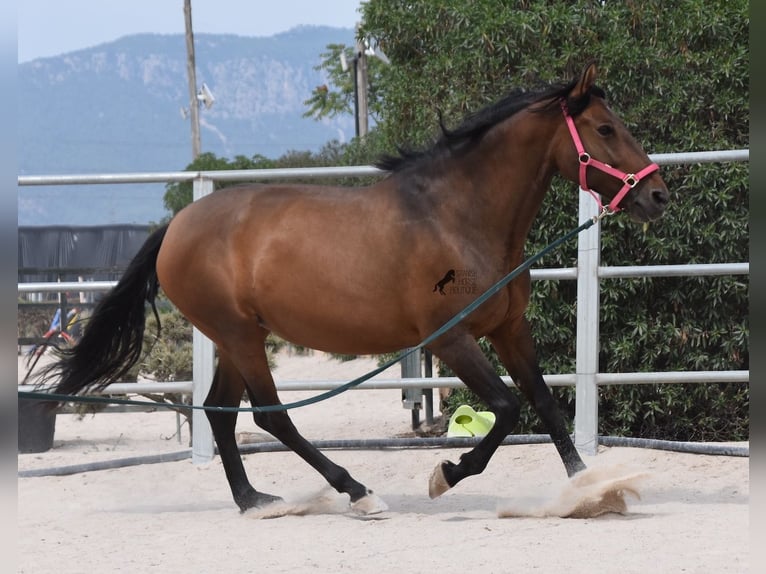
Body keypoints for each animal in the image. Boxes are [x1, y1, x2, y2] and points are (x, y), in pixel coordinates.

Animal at [39, 64, 668, 516]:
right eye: (606, 129)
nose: (658, 195)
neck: (455, 218)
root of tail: (176, 226)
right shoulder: (449, 341)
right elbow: (510, 408)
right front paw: (446, 474)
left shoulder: (509, 329)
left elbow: (545, 404)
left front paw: (591, 492)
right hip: (240, 336)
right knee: (271, 418)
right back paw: (358, 492)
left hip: (235, 338)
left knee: (220, 414)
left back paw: (255, 501)